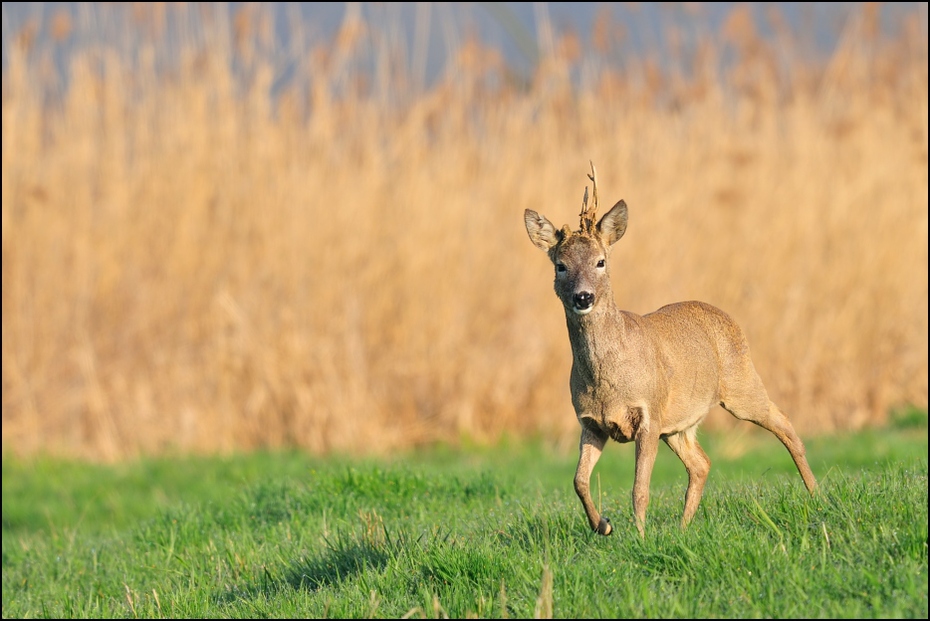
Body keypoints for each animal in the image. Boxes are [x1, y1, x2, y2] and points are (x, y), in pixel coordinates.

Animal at [524, 162, 816, 536]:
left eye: (601, 261)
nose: (583, 296)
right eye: (560, 265)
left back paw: (816, 494)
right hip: (678, 422)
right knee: (701, 462)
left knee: (784, 422)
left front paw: (639, 537)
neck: (607, 380)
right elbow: (579, 481)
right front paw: (603, 525)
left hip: (740, 383)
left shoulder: (649, 413)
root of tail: (723, 313)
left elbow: (639, 488)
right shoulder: (591, 422)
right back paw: (683, 527)